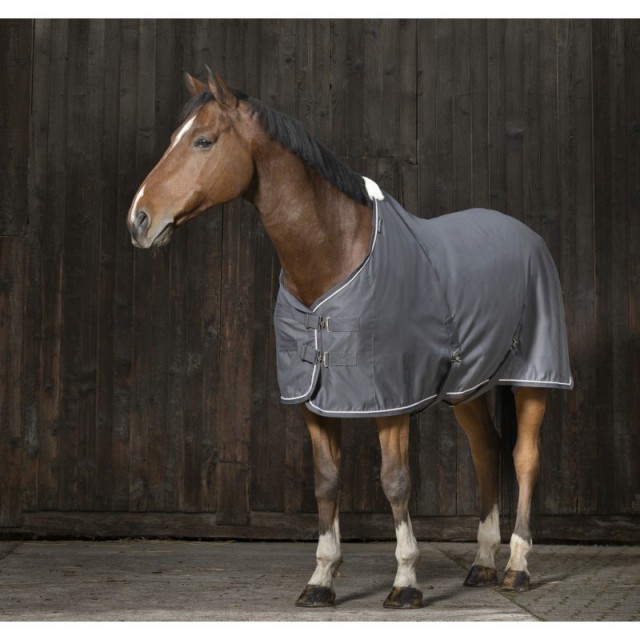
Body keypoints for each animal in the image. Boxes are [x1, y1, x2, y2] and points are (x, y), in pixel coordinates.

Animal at [127, 69, 573, 609]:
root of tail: (526, 236)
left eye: (203, 141)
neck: (335, 256)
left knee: (525, 460)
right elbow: (325, 483)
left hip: (533, 378)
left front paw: (405, 582)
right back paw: (483, 564)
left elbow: (395, 483)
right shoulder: (312, 401)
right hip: (468, 386)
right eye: (176, 137)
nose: (139, 219)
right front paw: (321, 579)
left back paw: (517, 567)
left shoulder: (392, 401)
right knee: (486, 452)